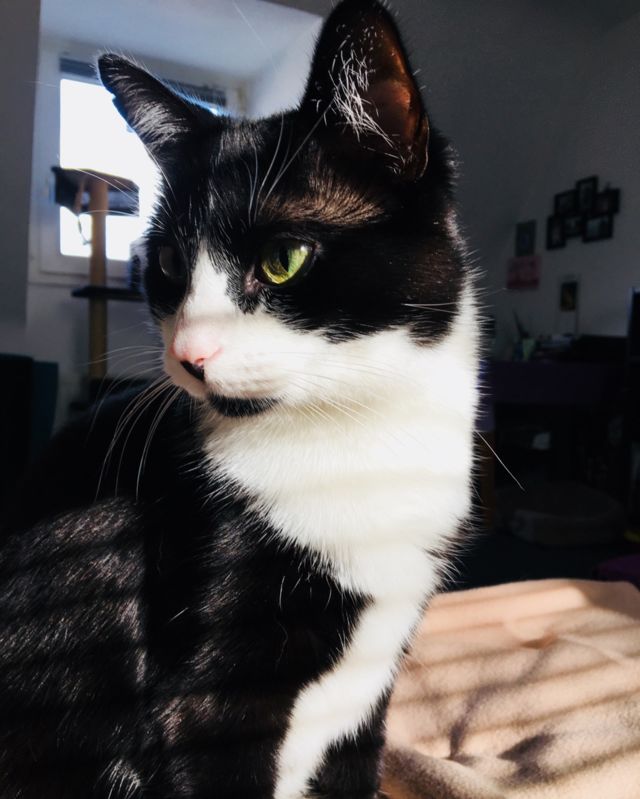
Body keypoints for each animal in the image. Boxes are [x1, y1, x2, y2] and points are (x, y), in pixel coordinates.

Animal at [0, 0, 479, 797]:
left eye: (282, 259)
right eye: (167, 263)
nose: (190, 356)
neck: (353, 443)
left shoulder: (369, 696)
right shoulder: (207, 710)